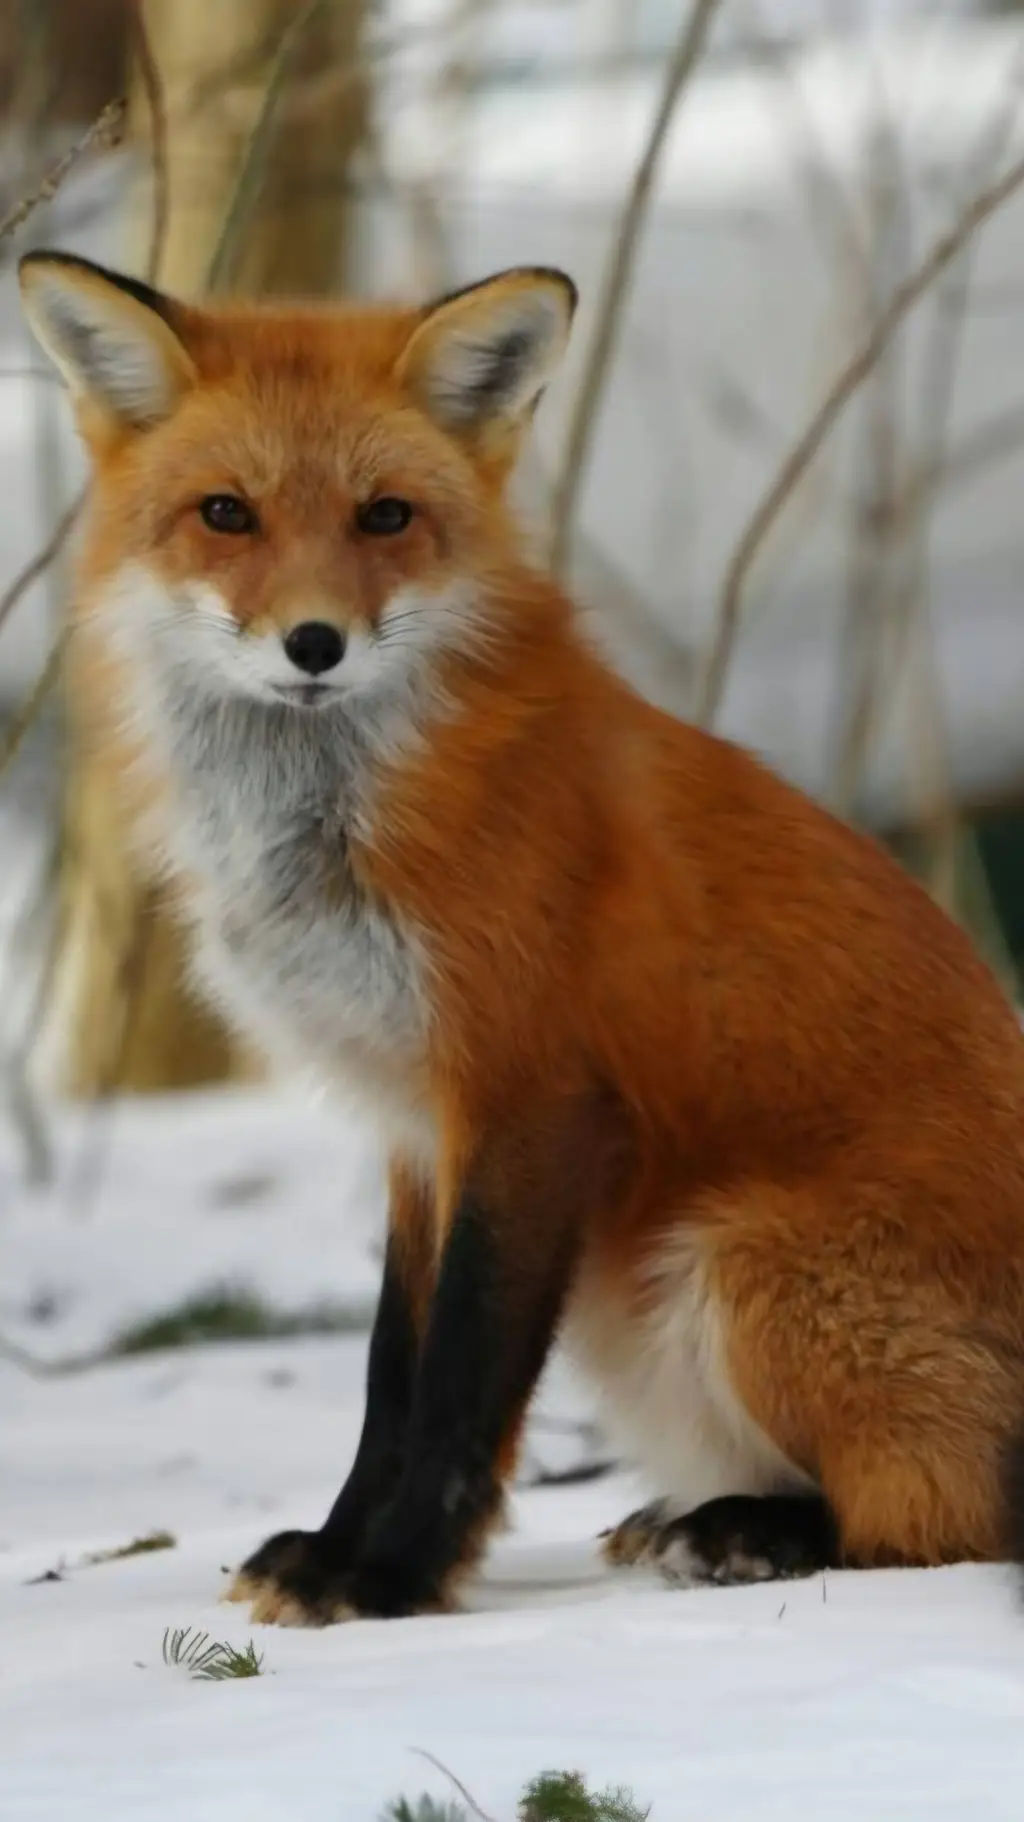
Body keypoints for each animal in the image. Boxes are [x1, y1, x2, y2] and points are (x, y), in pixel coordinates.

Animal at [19, 246, 1024, 1626]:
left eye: (385, 517)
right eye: (226, 513)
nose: (314, 644)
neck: (334, 826)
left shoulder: (531, 1093)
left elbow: (462, 1378)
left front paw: (390, 1578)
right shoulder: (412, 1121)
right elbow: (390, 1374)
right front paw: (335, 1553)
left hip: (738, 1265)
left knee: (933, 1520)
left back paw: (751, 1529)